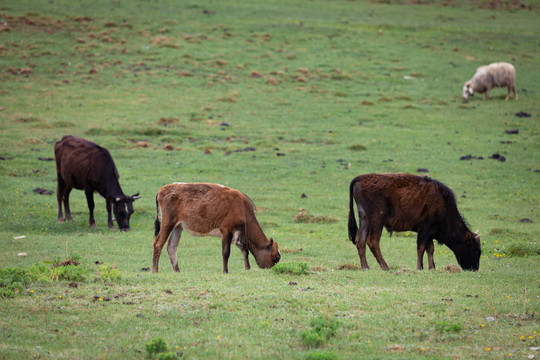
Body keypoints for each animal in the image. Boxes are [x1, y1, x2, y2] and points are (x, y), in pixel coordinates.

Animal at [151, 183, 280, 272]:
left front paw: (247, 269)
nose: (273, 269)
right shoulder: (226, 231)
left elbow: (245, 250)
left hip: (178, 227)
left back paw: (177, 271)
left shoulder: (236, 235)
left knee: (172, 247)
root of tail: (161, 190)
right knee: (158, 244)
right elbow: (226, 252)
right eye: (276, 257)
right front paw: (225, 271)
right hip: (168, 224)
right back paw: (155, 271)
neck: (242, 207)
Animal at [348, 172, 484, 270]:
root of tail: (360, 179)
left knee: (360, 240)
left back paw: (365, 267)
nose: (474, 269)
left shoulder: (429, 233)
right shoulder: (424, 229)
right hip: (377, 220)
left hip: (364, 219)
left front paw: (431, 268)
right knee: (373, 241)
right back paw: (385, 267)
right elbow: (421, 248)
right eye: (475, 250)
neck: (444, 205)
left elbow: (430, 249)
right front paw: (420, 267)